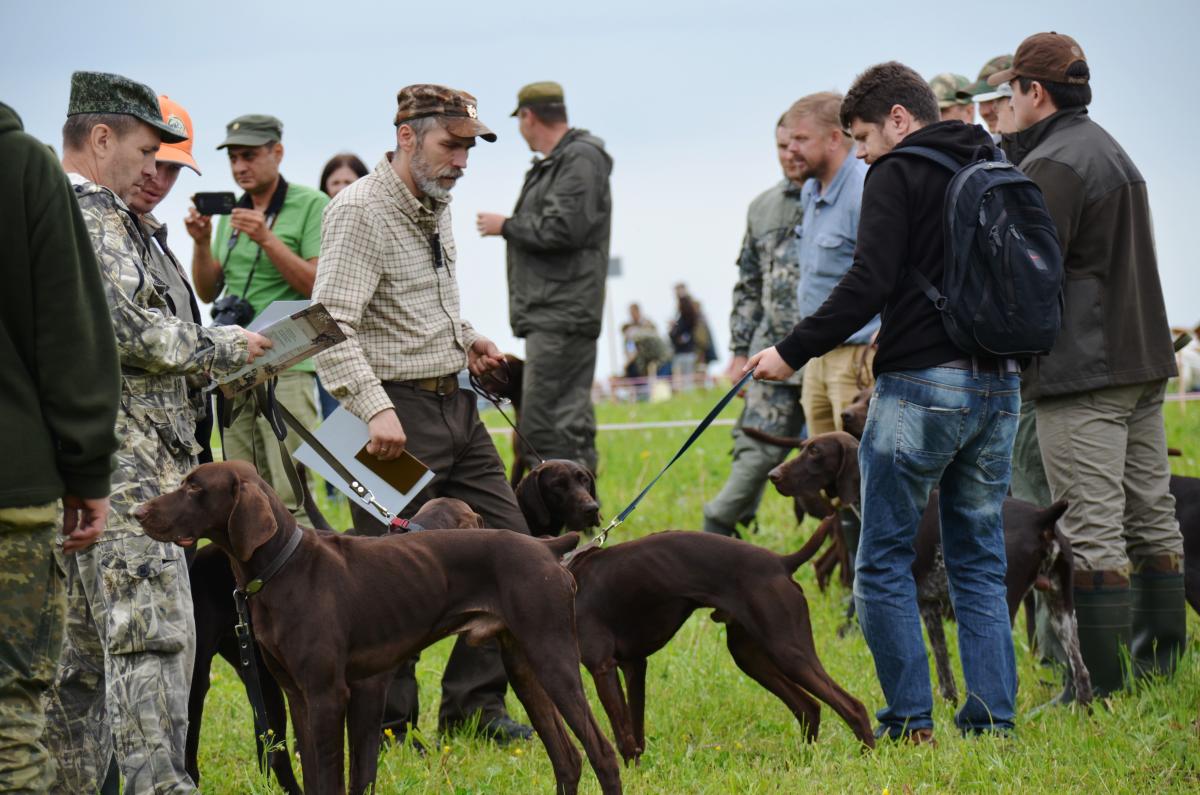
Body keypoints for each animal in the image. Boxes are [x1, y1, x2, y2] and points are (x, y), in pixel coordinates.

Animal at [515, 460, 875, 762]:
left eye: (584, 480)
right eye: (558, 484)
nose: (592, 508)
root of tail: (780, 562)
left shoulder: (602, 667)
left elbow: (623, 736)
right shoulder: (634, 665)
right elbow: (636, 733)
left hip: (788, 650)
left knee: (853, 706)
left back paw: (866, 756)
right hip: (750, 655)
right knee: (809, 707)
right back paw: (803, 760)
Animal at [768, 432, 1091, 706]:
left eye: (815, 452)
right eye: (803, 447)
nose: (774, 476)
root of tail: (1042, 517)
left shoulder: (910, 600)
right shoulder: (930, 605)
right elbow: (943, 666)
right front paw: (949, 704)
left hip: (1006, 600)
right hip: (1062, 608)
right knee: (1081, 673)